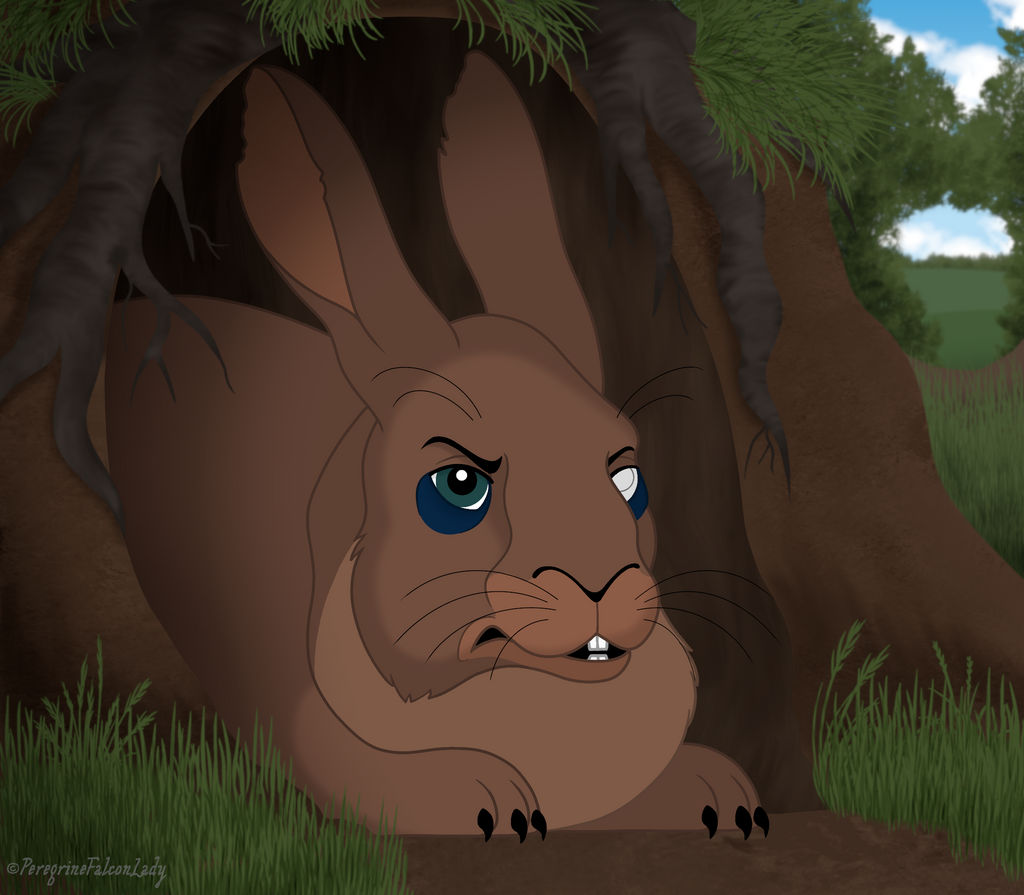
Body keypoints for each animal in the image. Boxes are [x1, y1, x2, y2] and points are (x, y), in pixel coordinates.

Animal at [104, 50, 767, 840]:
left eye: (627, 479)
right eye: (456, 486)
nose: (603, 586)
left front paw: (724, 793)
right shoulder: (308, 736)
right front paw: (490, 799)